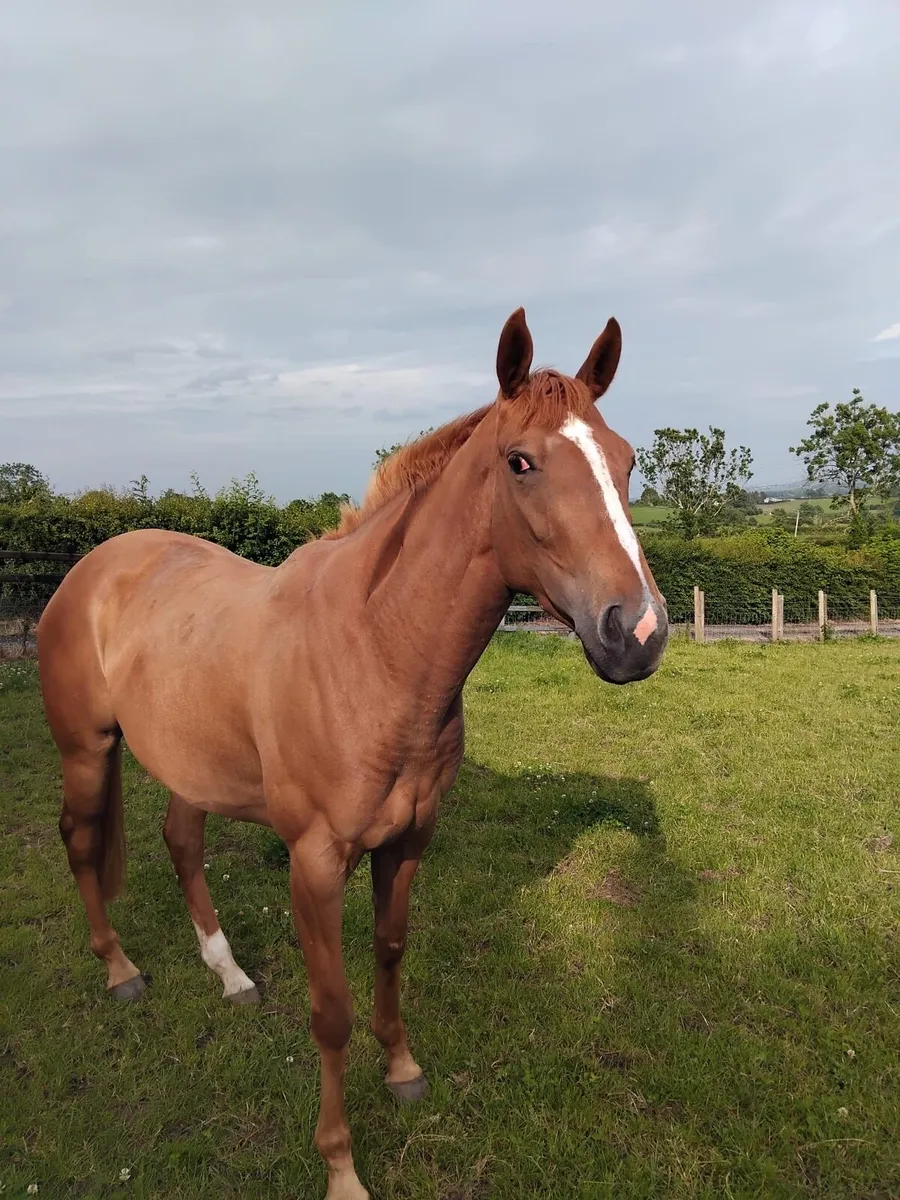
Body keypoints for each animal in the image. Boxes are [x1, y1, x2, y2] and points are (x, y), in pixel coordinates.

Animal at [37, 307, 668, 1199]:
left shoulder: (408, 841)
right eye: (521, 462)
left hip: (190, 762)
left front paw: (401, 1070)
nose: (637, 632)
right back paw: (120, 970)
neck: (375, 650)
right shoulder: (314, 860)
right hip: (87, 752)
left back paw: (229, 975)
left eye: (627, 461)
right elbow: (328, 1010)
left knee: (181, 842)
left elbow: (391, 951)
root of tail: (94, 567)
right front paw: (341, 1166)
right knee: (82, 840)